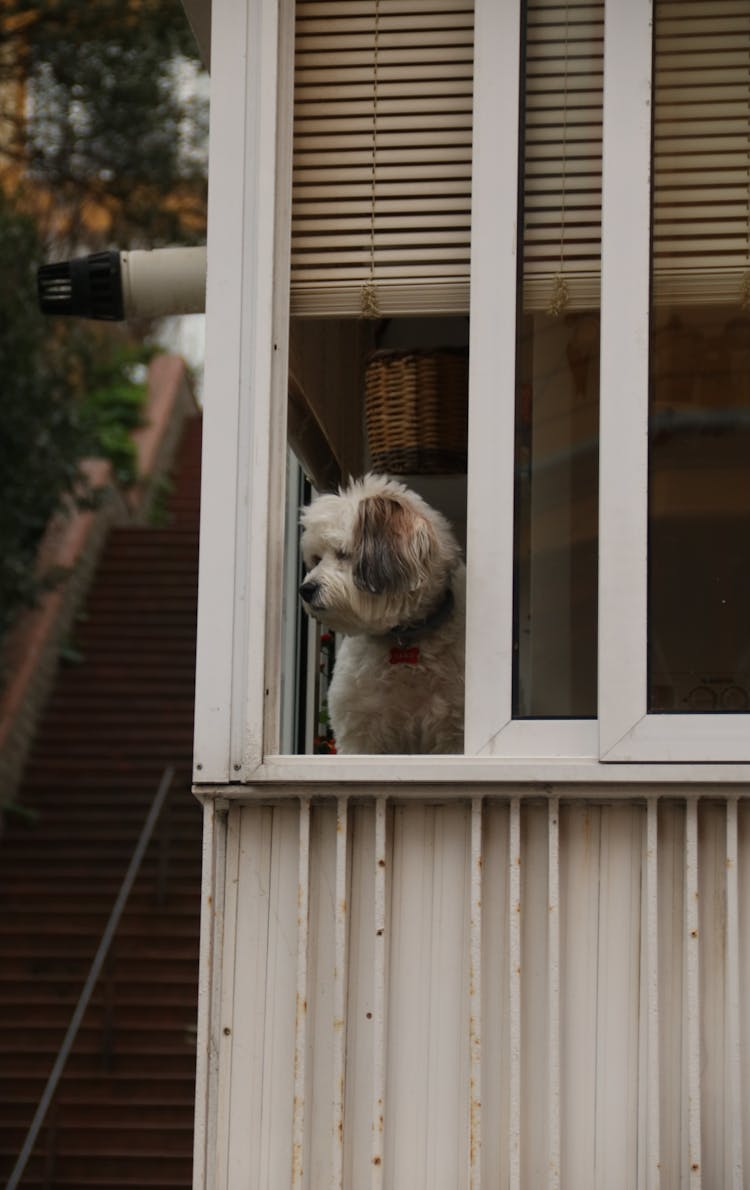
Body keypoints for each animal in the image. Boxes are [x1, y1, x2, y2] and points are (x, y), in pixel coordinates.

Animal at [300, 473, 464, 752]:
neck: (404, 637)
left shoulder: (452, 733)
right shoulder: (360, 732)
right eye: (316, 559)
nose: (305, 590)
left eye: (343, 553)